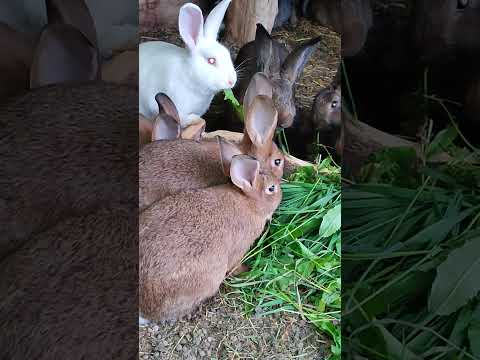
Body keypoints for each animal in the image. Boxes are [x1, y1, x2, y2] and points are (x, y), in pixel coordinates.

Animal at [139, 153, 282, 322]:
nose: (282, 194)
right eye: (271, 188)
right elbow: (235, 265)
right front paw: (246, 270)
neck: (249, 202)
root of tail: (144, 308)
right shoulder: (239, 250)